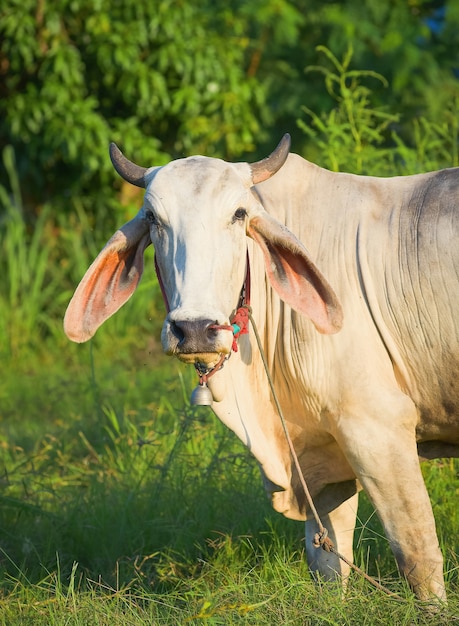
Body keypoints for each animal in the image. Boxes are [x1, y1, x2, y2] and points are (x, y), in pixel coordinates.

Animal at [64, 135, 459, 600]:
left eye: (239, 214)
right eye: (153, 218)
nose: (194, 329)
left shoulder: (378, 428)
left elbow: (418, 556)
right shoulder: (324, 455)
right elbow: (327, 562)